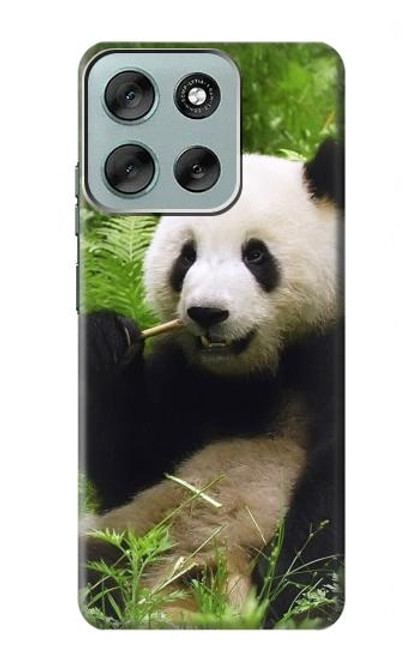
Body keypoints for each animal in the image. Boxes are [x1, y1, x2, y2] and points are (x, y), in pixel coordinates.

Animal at [80, 139, 344, 627]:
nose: (207, 313)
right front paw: (105, 341)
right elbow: (135, 467)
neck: (259, 372)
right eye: (186, 256)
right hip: (133, 535)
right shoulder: (187, 378)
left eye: (256, 255)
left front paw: (289, 587)